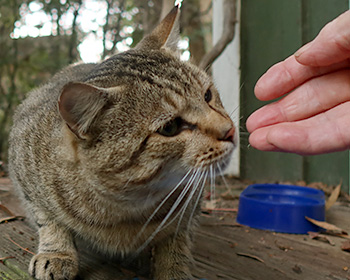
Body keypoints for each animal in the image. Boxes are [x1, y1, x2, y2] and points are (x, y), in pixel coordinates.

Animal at [8, 6, 237, 280]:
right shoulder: (23, 164)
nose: (230, 131)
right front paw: (57, 252)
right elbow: (48, 218)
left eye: (207, 95)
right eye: (169, 128)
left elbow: (176, 239)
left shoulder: (190, 205)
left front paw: (173, 268)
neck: (128, 208)